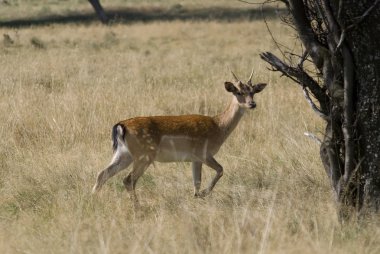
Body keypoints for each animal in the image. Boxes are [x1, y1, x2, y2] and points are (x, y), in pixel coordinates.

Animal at [92, 70, 266, 204]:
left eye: (253, 92)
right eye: (238, 92)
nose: (252, 104)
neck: (218, 127)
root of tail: (120, 126)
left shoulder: (194, 159)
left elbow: (196, 181)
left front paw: (197, 196)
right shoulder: (203, 153)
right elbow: (220, 169)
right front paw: (204, 193)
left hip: (124, 154)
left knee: (103, 173)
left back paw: (93, 199)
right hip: (144, 155)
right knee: (128, 179)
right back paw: (137, 206)